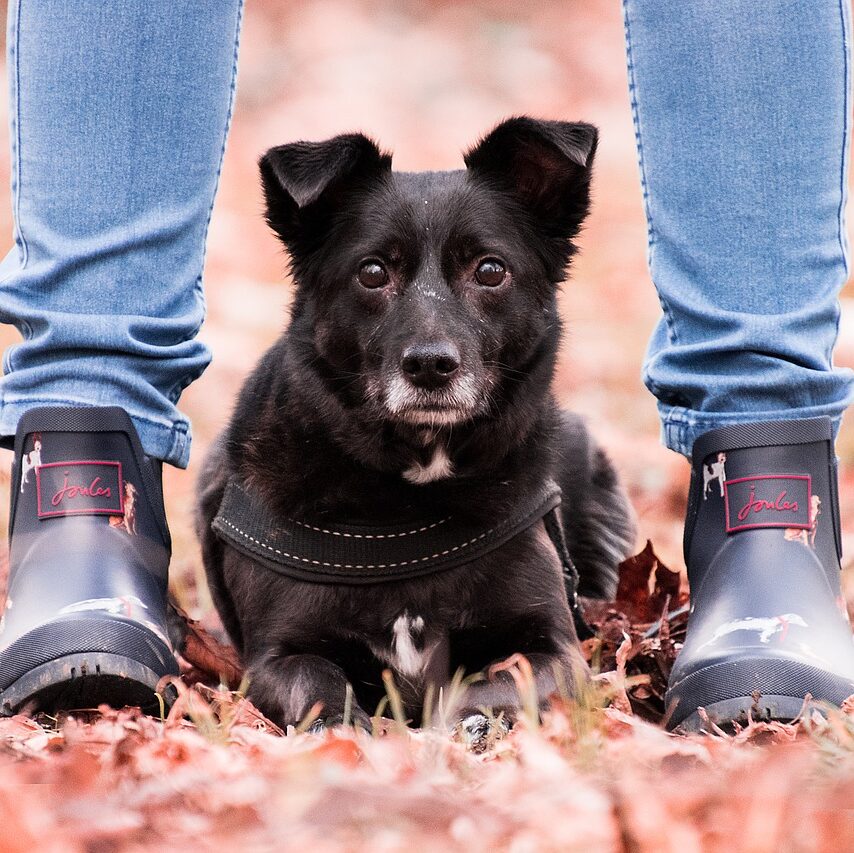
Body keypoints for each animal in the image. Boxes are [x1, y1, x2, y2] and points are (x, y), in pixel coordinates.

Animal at [199, 116, 636, 736]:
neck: (411, 494)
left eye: (491, 270)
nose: (430, 365)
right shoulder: (275, 656)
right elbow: (317, 680)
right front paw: (343, 730)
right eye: (372, 272)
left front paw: (466, 727)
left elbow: (498, 684)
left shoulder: (556, 647)